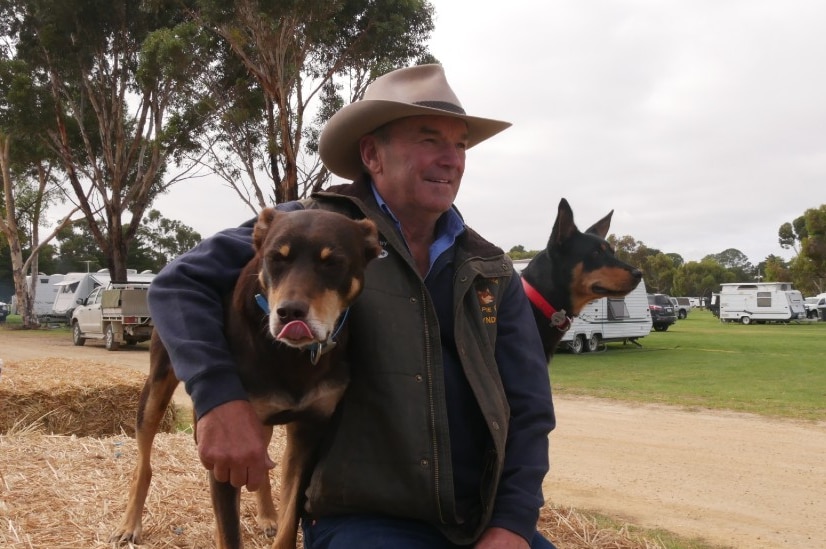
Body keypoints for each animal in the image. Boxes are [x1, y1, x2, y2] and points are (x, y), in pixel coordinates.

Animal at [109, 207, 380, 548]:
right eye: (276, 258)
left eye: (333, 263)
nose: (289, 313)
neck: (292, 356)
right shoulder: (227, 447)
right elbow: (229, 530)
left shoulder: (308, 432)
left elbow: (290, 518)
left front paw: (277, 522)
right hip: (155, 392)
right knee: (143, 465)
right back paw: (129, 524)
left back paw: (267, 516)